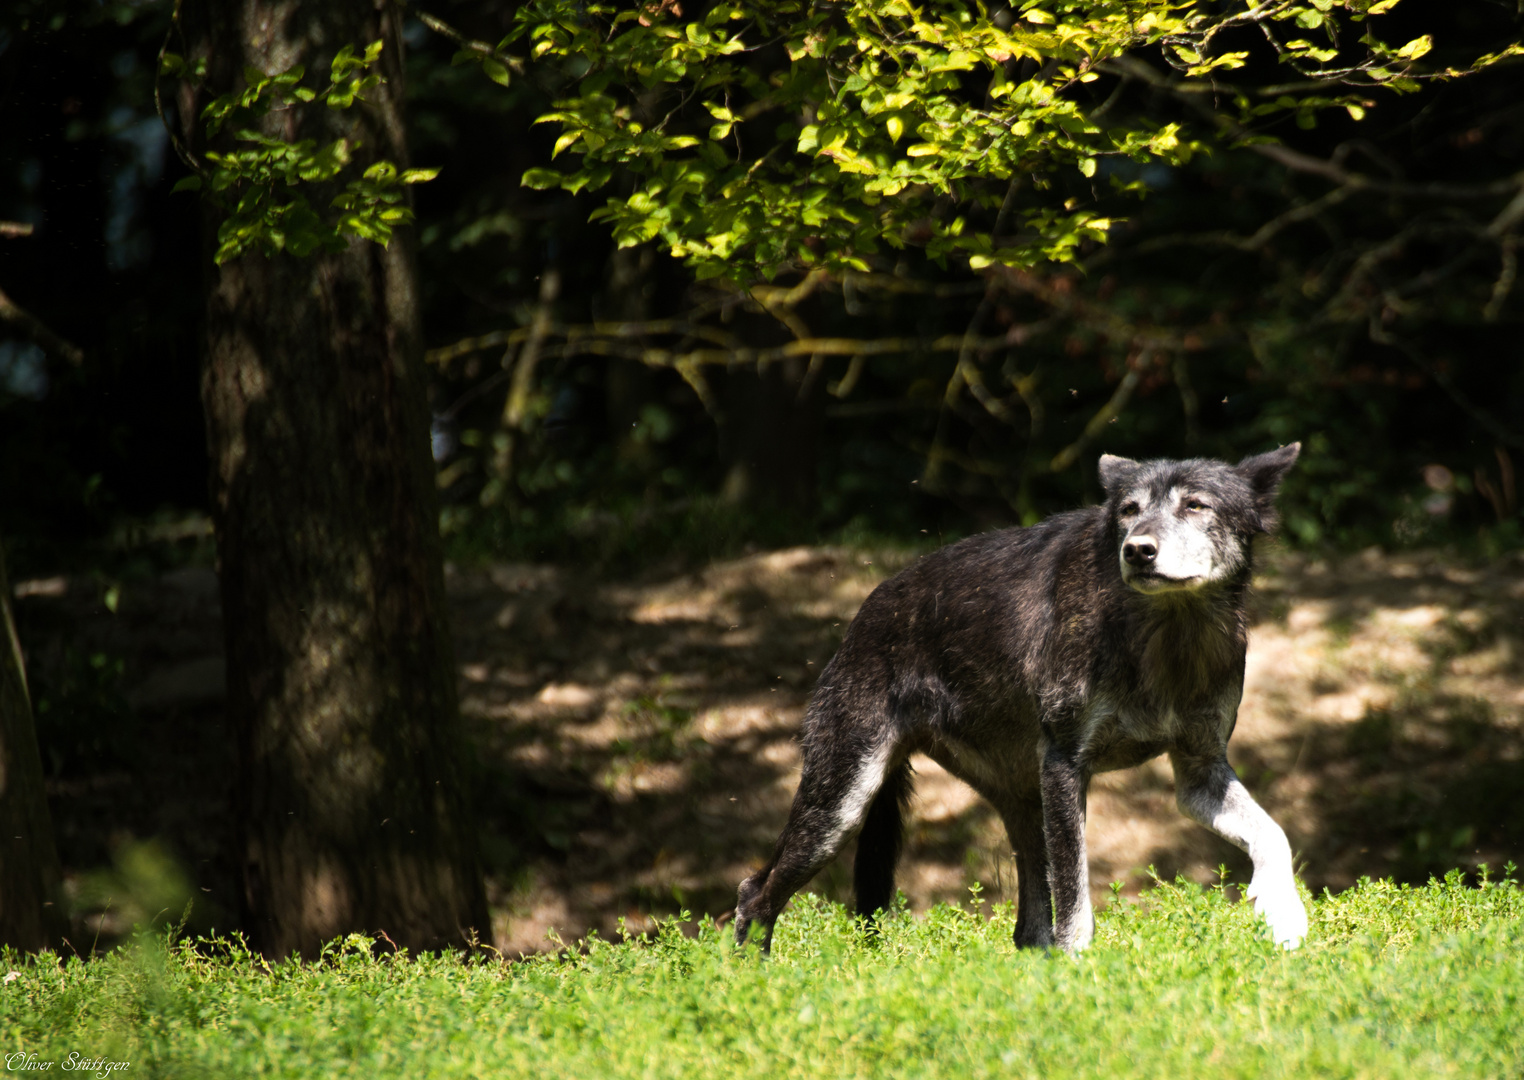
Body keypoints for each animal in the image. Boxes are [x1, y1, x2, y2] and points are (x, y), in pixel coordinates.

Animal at [731, 447, 1304, 950]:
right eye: (1129, 511)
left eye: (1195, 505)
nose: (1137, 549)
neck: (1165, 636)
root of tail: (864, 614)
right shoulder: (1067, 765)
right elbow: (1077, 908)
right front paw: (1082, 973)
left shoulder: (1198, 773)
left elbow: (1275, 836)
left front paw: (1287, 921)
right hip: (842, 806)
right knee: (754, 893)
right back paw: (750, 980)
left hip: (1024, 809)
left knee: (1028, 932)